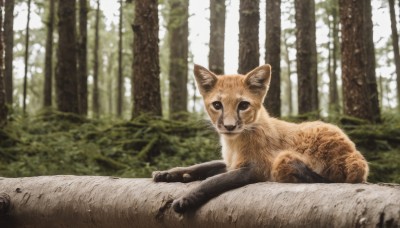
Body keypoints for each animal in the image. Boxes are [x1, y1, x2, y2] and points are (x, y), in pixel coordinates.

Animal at [152, 63, 368, 214]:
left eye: (243, 105)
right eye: (217, 105)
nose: (229, 127)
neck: (233, 145)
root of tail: (357, 160)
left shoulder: (254, 168)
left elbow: (213, 181)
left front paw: (186, 198)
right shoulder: (231, 163)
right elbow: (201, 166)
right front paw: (169, 173)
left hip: (283, 161)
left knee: (320, 180)